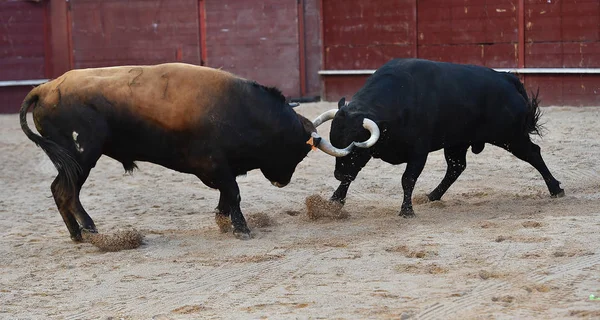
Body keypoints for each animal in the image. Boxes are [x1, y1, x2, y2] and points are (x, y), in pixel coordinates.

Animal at [314, 57, 568, 218]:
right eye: (335, 142)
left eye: (354, 148)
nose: (337, 174)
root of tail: (507, 79)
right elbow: (351, 177)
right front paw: (333, 202)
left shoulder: (418, 152)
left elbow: (407, 179)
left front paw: (406, 211)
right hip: (458, 143)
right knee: (456, 167)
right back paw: (433, 195)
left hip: (511, 137)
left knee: (533, 154)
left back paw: (556, 189)